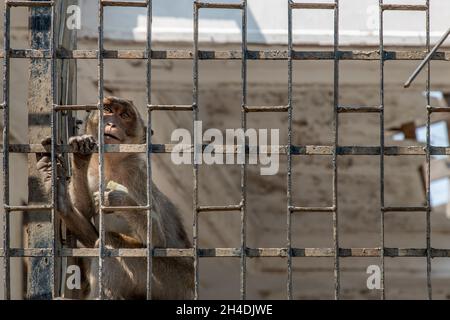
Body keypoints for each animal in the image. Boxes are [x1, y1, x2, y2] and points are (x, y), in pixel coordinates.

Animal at [36, 96, 193, 298]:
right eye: (108, 110)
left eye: (125, 115)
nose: (111, 123)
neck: (111, 164)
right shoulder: (93, 175)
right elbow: (85, 217)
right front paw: (79, 156)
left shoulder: (137, 175)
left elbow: (157, 241)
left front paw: (116, 200)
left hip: (171, 280)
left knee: (110, 242)